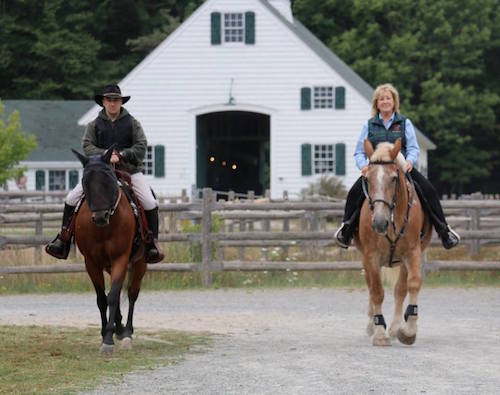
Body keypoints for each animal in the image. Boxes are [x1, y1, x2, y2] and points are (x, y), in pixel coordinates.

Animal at [72, 147, 147, 354]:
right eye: (85, 182)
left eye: (108, 181)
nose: (100, 217)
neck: (104, 228)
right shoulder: (91, 262)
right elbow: (102, 299)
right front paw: (106, 331)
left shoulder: (120, 258)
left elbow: (113, 296)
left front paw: (108, 339)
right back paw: (118, 328)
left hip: (140, 263)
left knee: (131, 294)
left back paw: (126, 332)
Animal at [354, 140, 432, 346]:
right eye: (368, 179)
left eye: (394, 178)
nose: (379, 222)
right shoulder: (371, 257)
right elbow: (377, 292)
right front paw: (380, 333)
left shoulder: (412, 253)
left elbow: (411, 285)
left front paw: (407, 330)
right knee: (371, 287)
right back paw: (371, 326)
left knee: (399, 290)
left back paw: (396, 327)